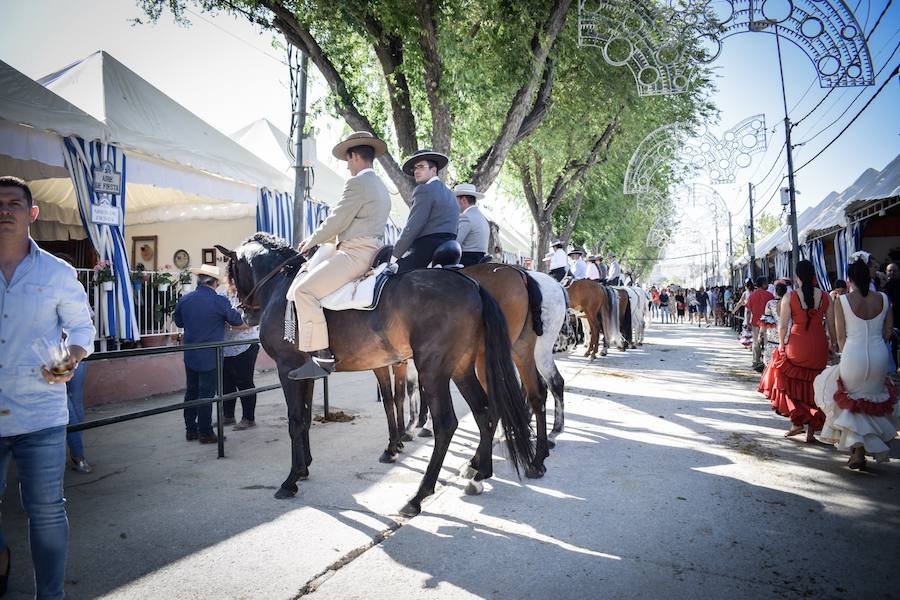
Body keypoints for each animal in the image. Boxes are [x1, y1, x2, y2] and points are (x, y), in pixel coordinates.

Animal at [222, 234, 536, 516]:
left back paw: (419, 496)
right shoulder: (304, 374)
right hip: (461, 366)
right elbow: (307, 418)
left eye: (231, 273)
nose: (243, 313)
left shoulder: (287, 369)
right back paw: (479, 472)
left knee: (447, 423)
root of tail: (472, 284)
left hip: (434, 370)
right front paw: (304, 467)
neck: (282, 287)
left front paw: (290, 480)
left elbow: (296, 420)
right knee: (484, 411)